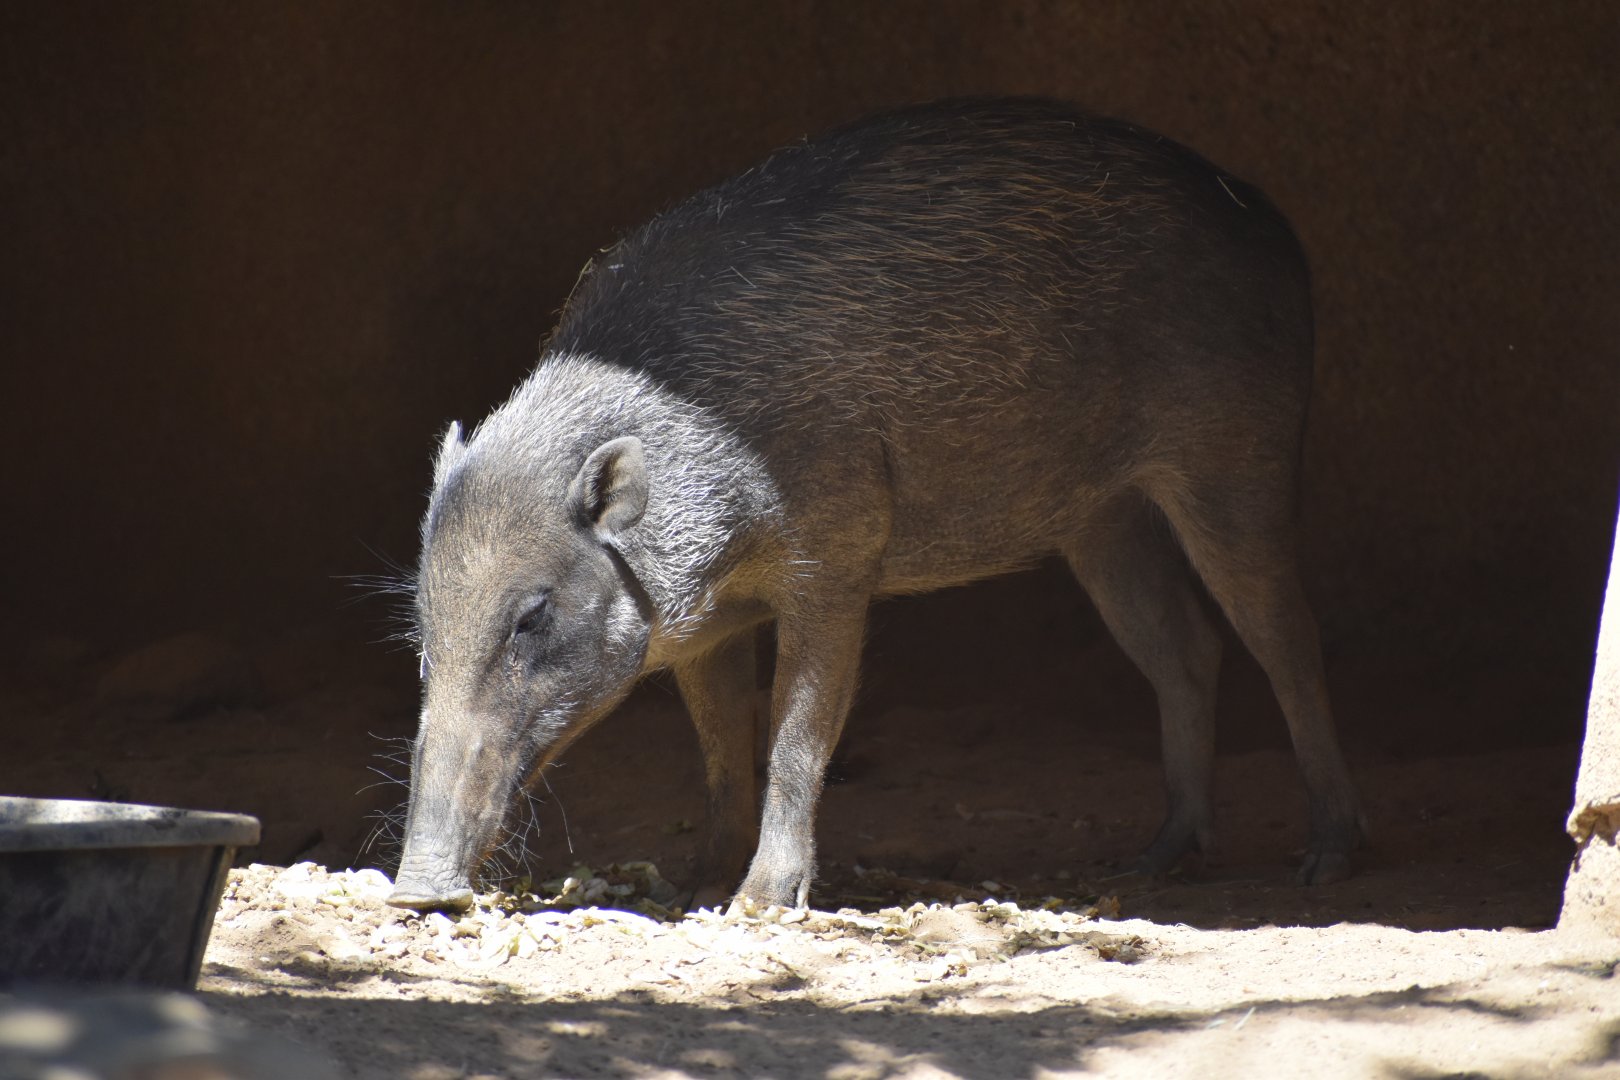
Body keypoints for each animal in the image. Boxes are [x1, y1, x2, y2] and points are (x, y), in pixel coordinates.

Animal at [386, 97, 1365, 913]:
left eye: (532, 616)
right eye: (423, 631)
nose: (415, 892)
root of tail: (1269, 217)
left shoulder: (837, 559)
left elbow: (795, 732)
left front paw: (757, 904)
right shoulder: (701, 625)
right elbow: (720, 745)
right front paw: (696, 882)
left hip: (1237, 459)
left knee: (1285, 636)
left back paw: (1326, 858)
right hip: (1103, 517)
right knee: (1184, 647)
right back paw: (1153, 860)